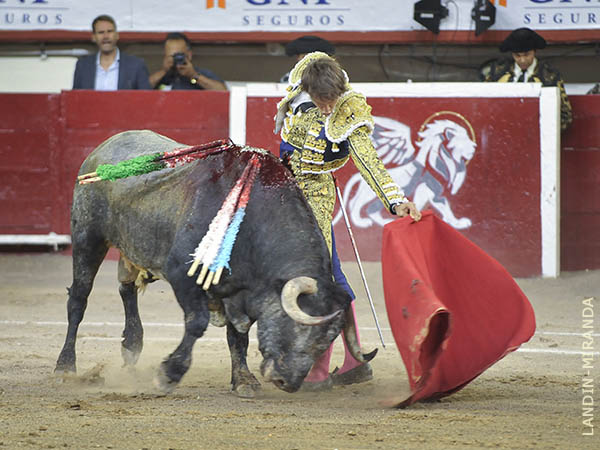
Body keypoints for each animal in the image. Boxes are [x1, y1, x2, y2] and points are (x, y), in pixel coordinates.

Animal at [56, 130, 376, 398]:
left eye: (328, 340)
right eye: (300, 327)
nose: (288, 382)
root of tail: (104, 147)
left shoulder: (239, 292)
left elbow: (239, 337)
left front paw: (243, 381)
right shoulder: (183, 275)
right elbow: (197, 323)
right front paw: (169, 374)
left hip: (135, 248)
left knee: (126, 288)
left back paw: (132, 348)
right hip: (88, 238)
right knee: (79, 298)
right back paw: (65, 366)